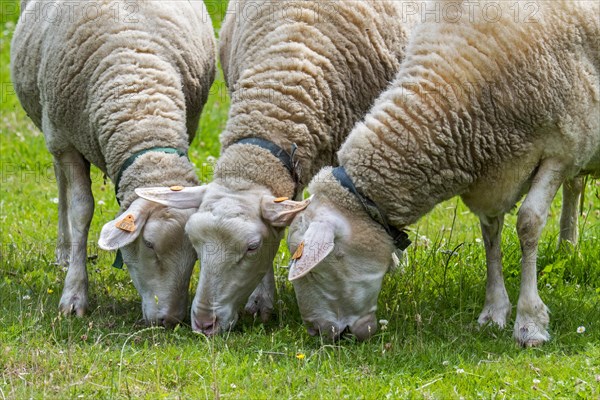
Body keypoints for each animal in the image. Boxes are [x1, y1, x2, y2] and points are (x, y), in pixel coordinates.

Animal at [11, 0, 216, 324]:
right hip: (51, 126)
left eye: (195, 252)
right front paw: (74, 295)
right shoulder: (65, 140)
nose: (169, 320)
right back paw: (64, 251)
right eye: (149, 244)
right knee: (60, 183)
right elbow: (81, 210)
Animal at [284, 0, 596, 344]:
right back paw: (567, 248)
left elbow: (528, 224)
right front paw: (493, 312)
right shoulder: (491, 176)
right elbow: (490, 235)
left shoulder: (562, 149)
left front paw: (530, 322)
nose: (318, 331)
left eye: (327, 261)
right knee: (575, 187)